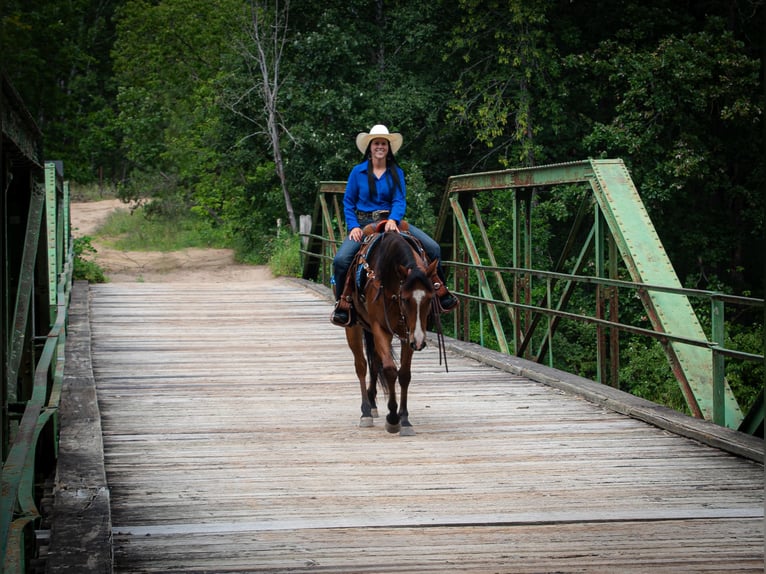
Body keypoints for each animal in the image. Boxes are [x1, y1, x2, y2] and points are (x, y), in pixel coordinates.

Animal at [346, 230, 440, 436]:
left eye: (430, 298)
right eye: (405, 299)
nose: (419, 342)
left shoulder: (408, 333)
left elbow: (404, 374)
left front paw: (404, 419)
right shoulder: (380, 328)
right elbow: (389, 369)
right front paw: (393, 417)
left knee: (374, 362)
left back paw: (373, 404)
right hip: (353, 326)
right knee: (361, 365)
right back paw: (366, 411)